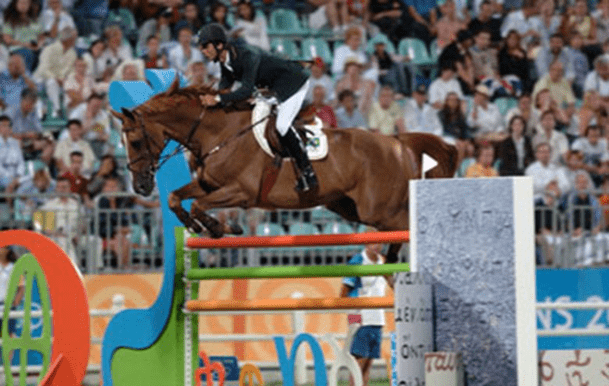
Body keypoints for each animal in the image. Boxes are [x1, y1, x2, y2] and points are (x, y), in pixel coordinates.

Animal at [113, 79, 456, 260]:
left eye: (136, 141)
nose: (140, 186)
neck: (218, 133)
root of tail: (395, 142)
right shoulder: (210, 185)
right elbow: (177, 198)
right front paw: (204, 227)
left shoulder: (241, 192)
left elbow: (197, 204)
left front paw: (220, 228)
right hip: (350, 207)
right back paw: (393, 258)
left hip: (379, 209)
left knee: (407, 222)